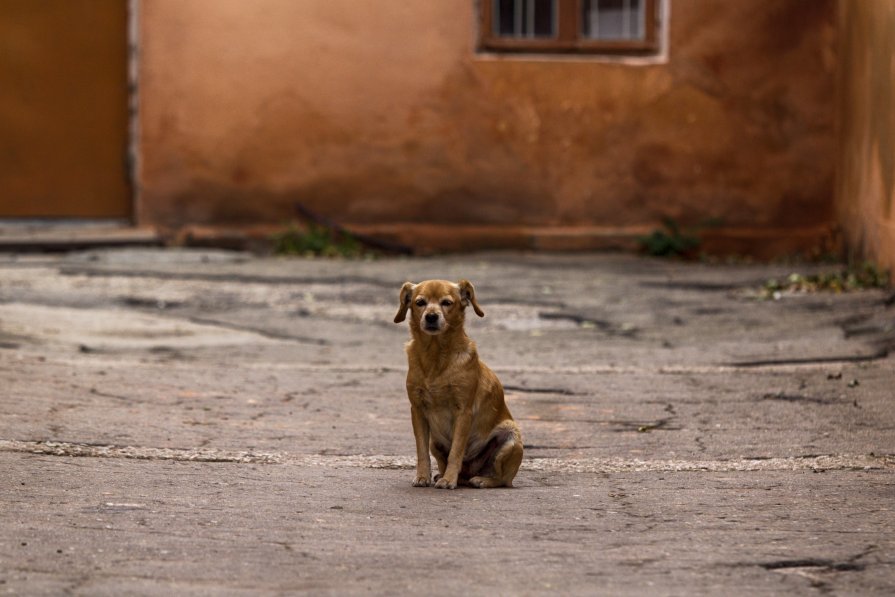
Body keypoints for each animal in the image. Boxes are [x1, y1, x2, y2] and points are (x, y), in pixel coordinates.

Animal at [394, 280, 524, 488]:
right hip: (435, 442)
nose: (431, 316)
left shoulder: (463, 412)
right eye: (420, 302)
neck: (436, 356)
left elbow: (456, 451)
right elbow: (421, 450)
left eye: (447, 302)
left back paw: (481, 480)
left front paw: (448, 480)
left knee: (502, 479)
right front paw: (423, 476)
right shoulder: (417, 410)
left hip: (510, 437)